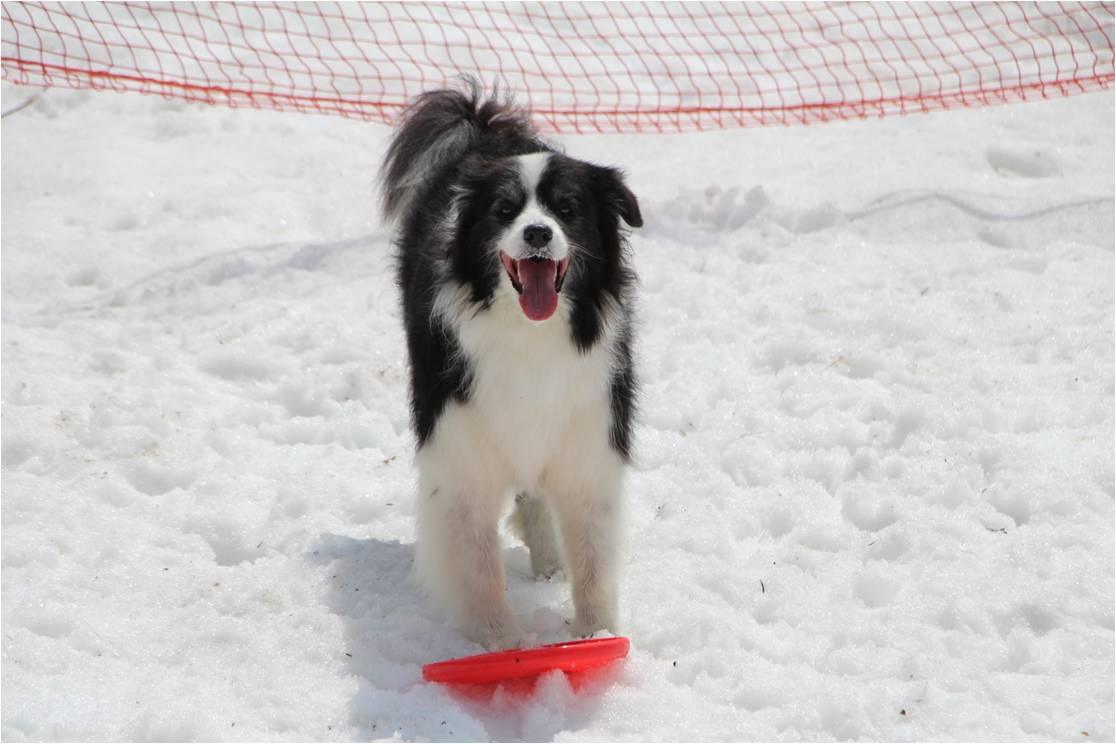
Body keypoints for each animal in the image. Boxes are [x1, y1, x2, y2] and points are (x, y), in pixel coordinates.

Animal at [383, 84, 647, 646]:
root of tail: (484, 129)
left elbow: (593, 558)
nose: (538, 234)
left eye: (567, 208)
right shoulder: (461, 449)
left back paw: (549, 560)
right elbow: (478, 562)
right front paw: (500, 643)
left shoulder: (589, 439)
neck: (530, 333)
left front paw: (596, 637)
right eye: (505, 210)